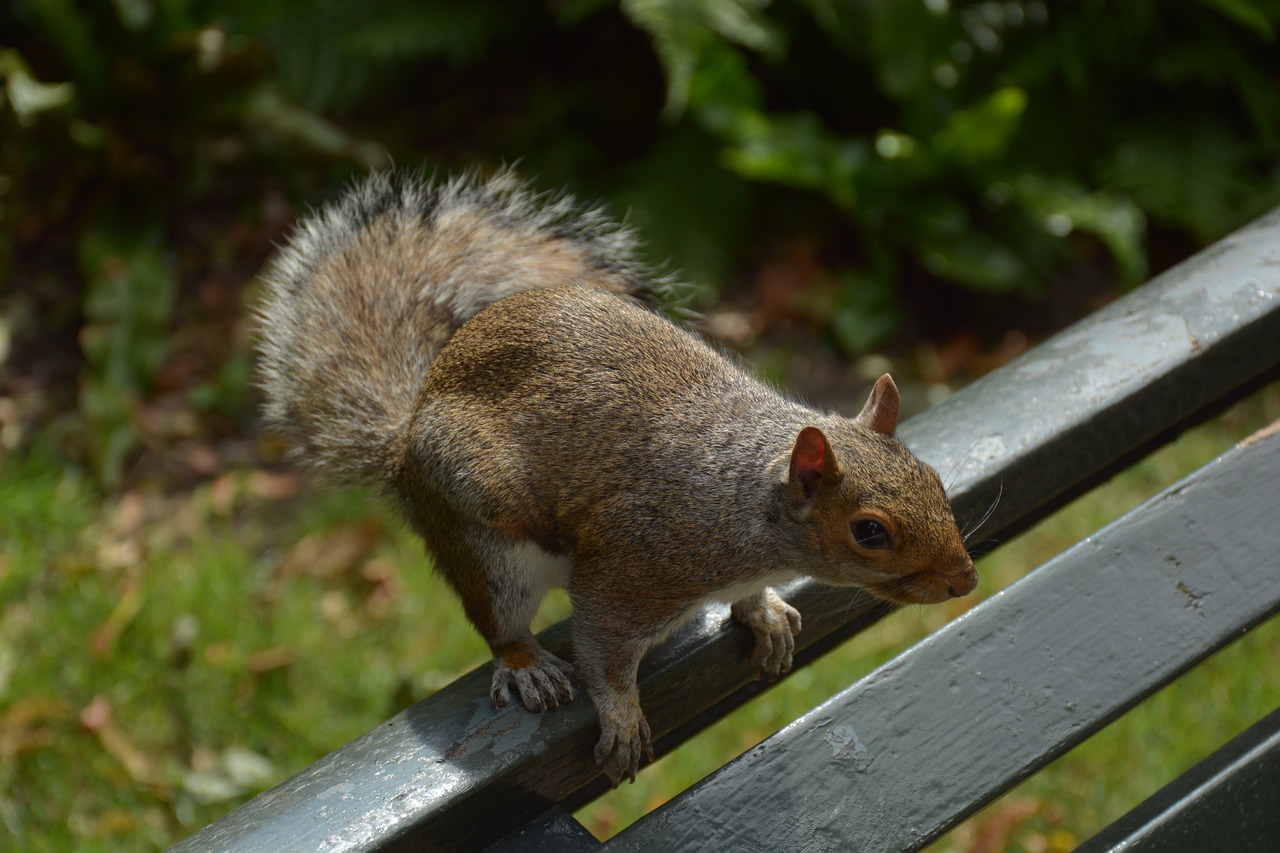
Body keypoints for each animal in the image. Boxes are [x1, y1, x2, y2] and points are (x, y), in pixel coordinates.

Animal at [257, 167, 977, 783]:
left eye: (935, 480)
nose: (964, 579)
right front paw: (623, 720)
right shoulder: (629, 573)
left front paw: (764, 614)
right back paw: (526, 664)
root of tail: (405, 444)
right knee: (499, 621)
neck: (744, 501)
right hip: (488, 544)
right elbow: (603, 654)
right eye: (870, 531)